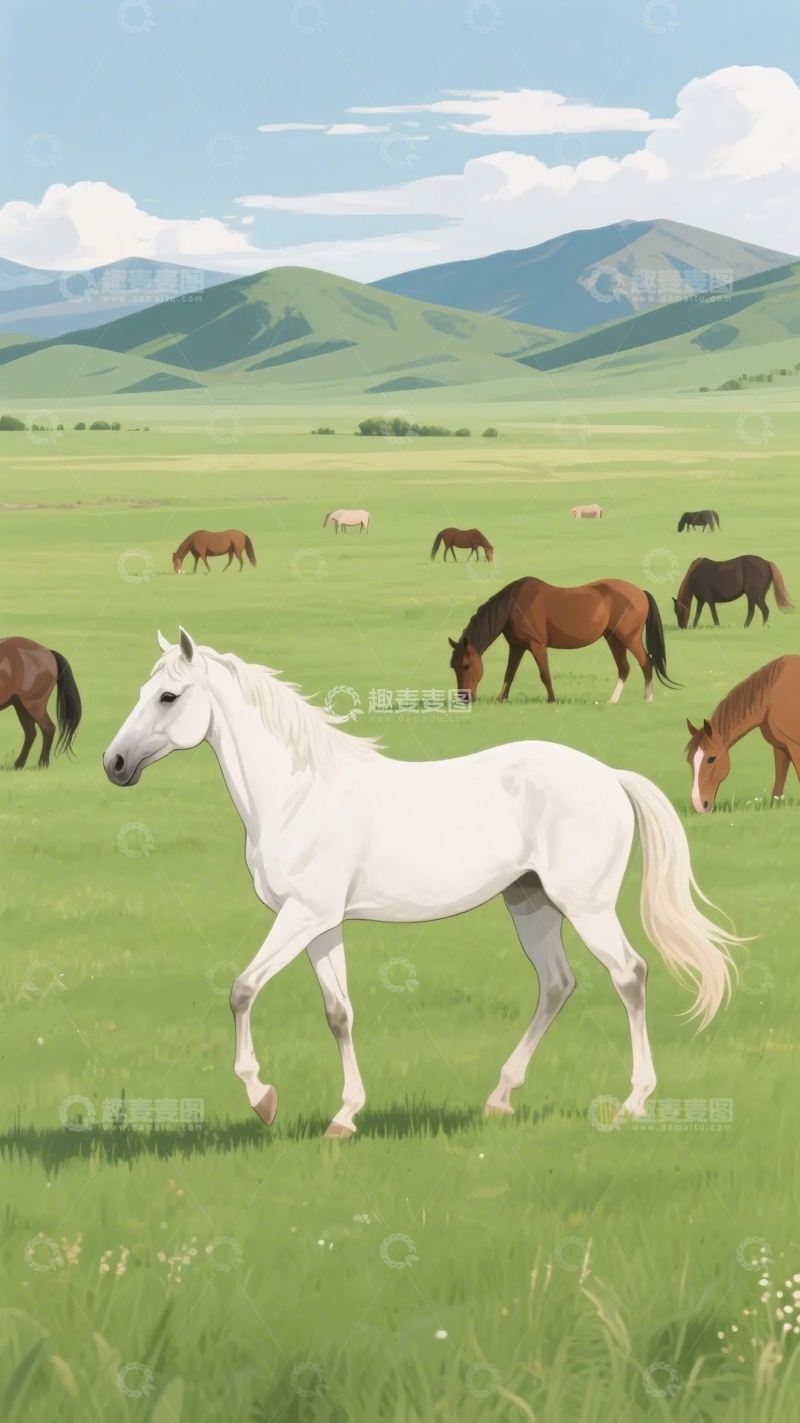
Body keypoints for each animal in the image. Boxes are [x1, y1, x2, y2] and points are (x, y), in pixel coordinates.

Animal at [0, 637, 82, 768]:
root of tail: (48, 652)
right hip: (21, 705)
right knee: (31, 733)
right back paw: (19, 764)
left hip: (34, 704)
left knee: (48, 728)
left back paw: (42, 764)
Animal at [103, 628, 740, 1136]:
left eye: (168, 696)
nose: (114, 764)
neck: (297, 793)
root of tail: (608, 775)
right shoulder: (320, 924)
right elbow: (338, 1013)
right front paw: (344, 1118)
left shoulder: (303, 914)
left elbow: (241, 990)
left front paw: (263, 1099)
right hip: (529, 902)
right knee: (557, 984)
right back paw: (499, 1097)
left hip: (586, 906)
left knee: (629, 976)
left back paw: (633, 1103)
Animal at [448, 577, 676, 705]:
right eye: (453, 666)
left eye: (466, 665)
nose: (464, 698)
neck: (514, 604)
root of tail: (640, 593)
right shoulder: (517, 646)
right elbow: (509, 674)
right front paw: (501, 698)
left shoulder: (536, 644)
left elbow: (544, 674)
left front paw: (551, 699)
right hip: (614, 638)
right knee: (624, 668)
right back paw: (613, 700)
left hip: (628, 638)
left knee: (646, 662)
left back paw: (647, 699)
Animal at [687, 656, 800, 811]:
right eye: (689, 760)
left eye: (711, 759)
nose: (699, 805)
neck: (771, 696)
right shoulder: (780, 746)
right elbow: (779, 782)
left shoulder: (794, 746)